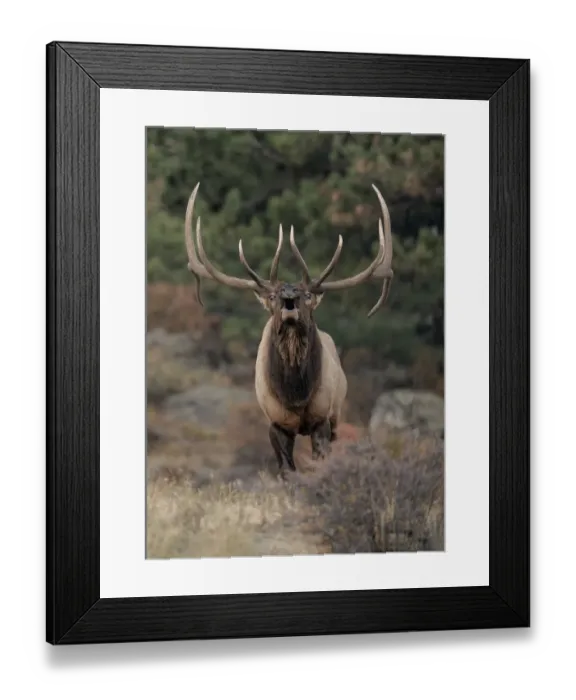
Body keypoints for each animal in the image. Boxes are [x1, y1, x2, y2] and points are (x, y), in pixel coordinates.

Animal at [182, 182, 394, 479]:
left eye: (307, 295)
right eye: (272, 296)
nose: (289, 295)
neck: (295, 394)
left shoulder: (322, 418)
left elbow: (320, 462)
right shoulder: (276, 422)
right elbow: (286, 472)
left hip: (337, 415)